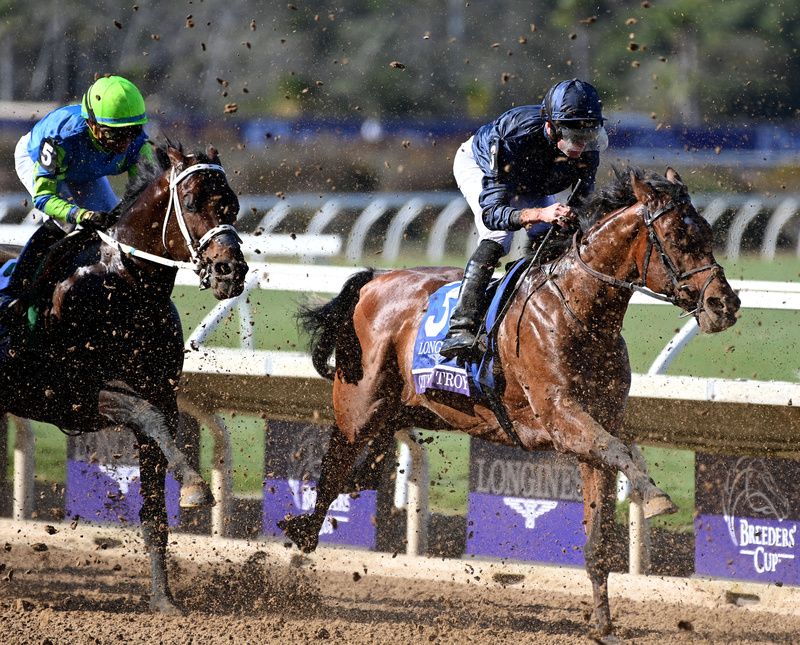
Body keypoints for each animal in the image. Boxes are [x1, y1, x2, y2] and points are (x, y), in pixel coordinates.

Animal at [0, 142, 247, 612]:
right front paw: (195, 486)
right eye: (191, 202)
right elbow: (143, 413)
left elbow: (155, 505)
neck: (123, 287)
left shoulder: (163, 397)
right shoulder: (71, 395)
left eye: (233, 204)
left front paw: (163, 599)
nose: (232, 271)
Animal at [284, 167, 740, 640]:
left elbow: (601, 522)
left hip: (395, 415)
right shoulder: (560, 418)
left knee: (362, 472)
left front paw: (602, 622)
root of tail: (373, 282)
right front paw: (655, 497)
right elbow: (621, 450)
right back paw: (302, 533)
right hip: (358, 411)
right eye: (679, 237)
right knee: (332, 472)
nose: (724, 304)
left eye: (708, 233)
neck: (576, 310)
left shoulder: (596, 427)